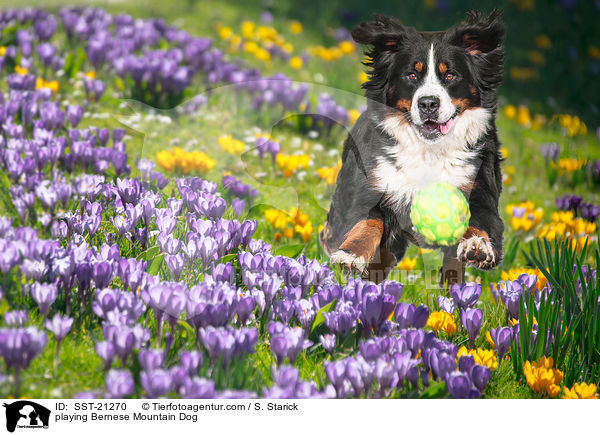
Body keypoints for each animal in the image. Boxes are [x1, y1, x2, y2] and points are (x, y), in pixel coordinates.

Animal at [322, 9, 504, 286]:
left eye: (450, 75)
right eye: (412, 75)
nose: (428, 103)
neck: (429, 151)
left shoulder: (480, 191)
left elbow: (479, 223)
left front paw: (477, 246)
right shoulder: (376, 189)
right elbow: (368, 223)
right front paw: (351, 255)